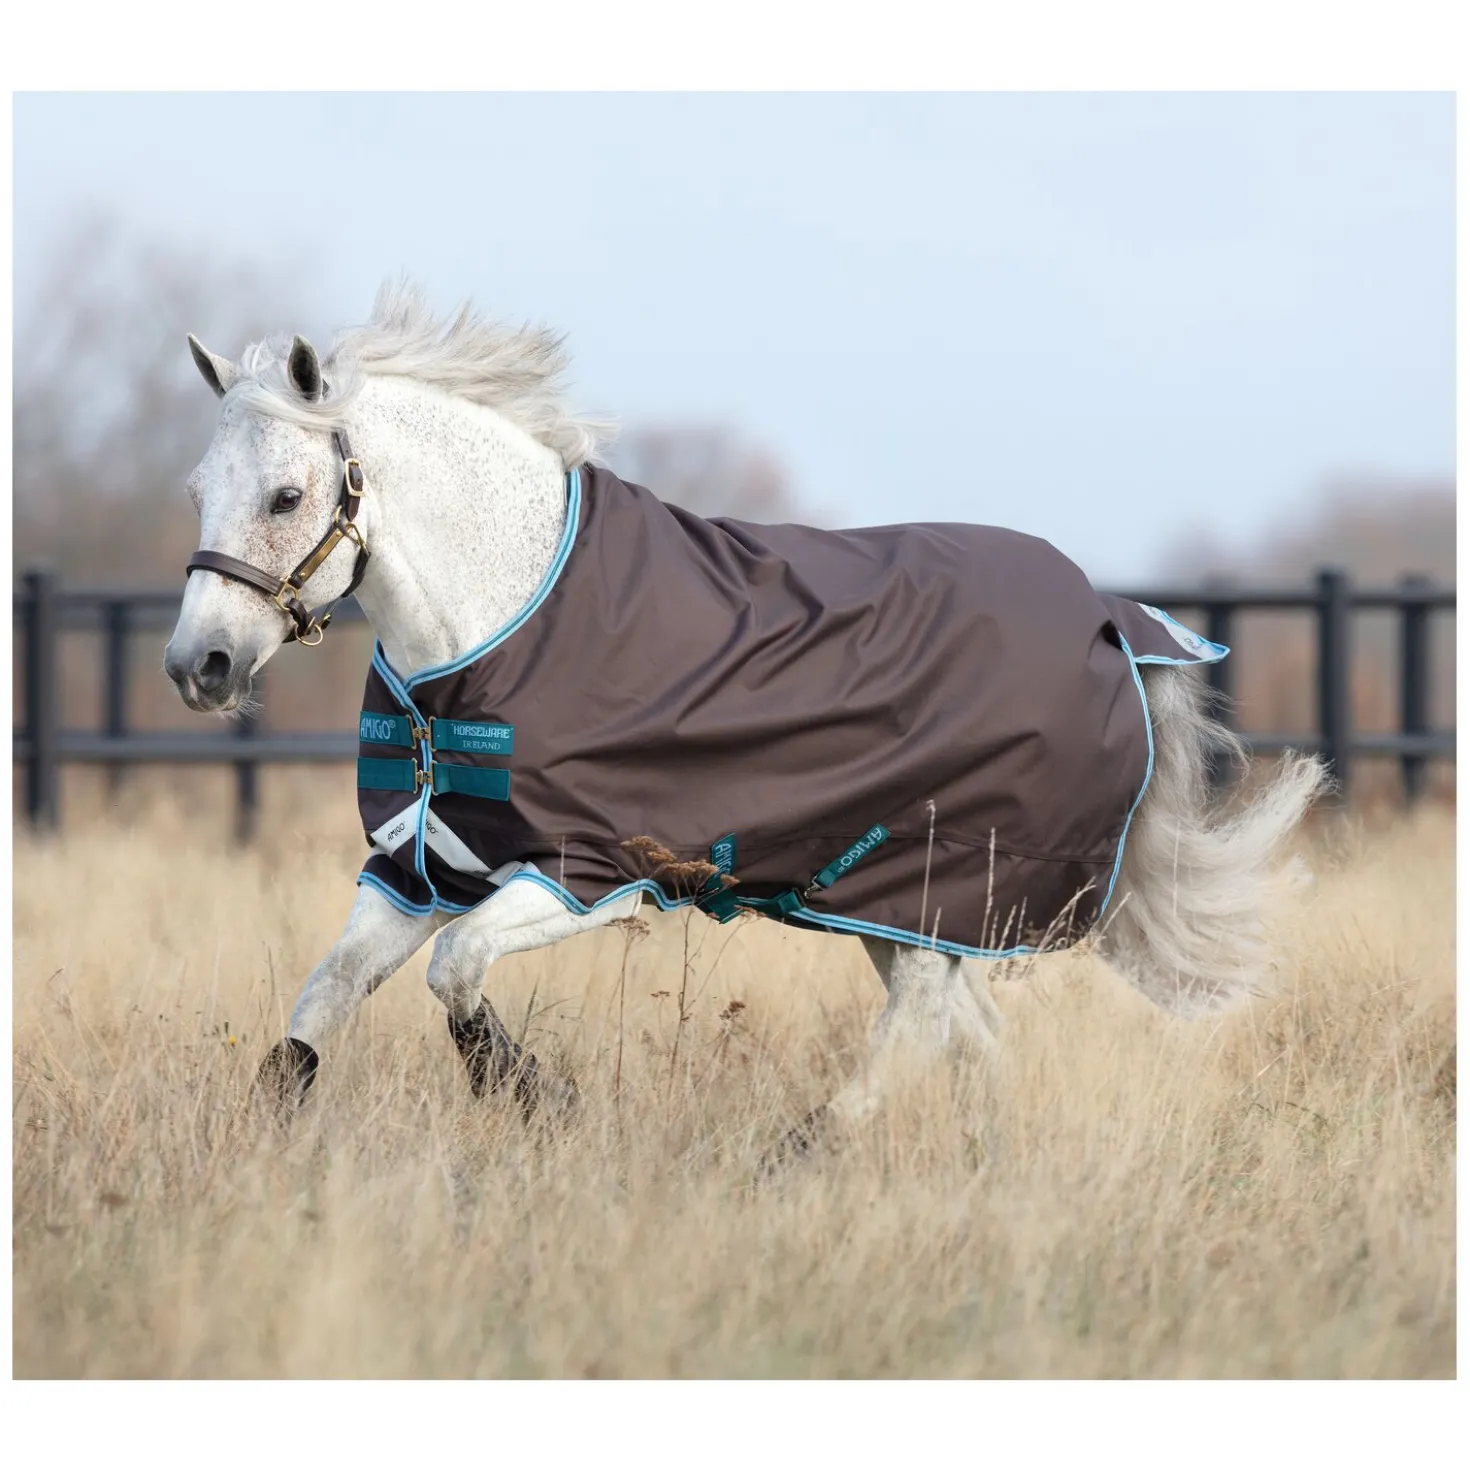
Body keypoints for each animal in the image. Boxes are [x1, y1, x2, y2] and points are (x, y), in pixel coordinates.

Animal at [165, 283, 1326, 1155]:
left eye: (285, 496)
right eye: (198, 488)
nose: (197, 665)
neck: (504, 621)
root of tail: (1113, 620)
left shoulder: (588, 874)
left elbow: (456, 974)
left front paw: (538, 1099)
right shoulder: (420, 866)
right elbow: (320, 1005)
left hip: (936, 886)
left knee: (920, 1029)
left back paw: (806, 1148)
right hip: (887, 903)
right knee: (968, 1034)